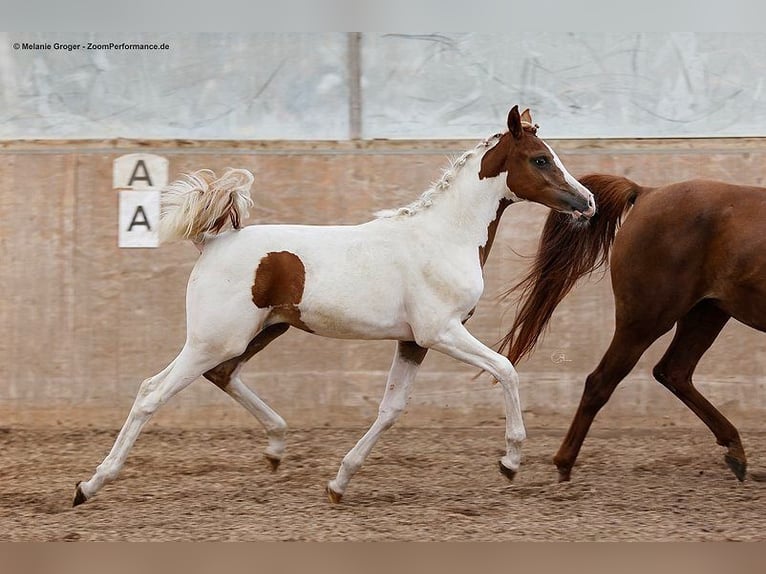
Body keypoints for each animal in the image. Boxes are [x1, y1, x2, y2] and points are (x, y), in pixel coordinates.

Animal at [72, 106, 596, 506]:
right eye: (540, 159)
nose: (587, 202)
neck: (445, 236)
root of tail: (211, 242)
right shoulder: (442, 332)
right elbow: (505, 369)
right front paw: (510, 461)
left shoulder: (413, 341)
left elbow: (391, 408)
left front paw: (339, 483)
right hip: (212, 339)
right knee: (152, 392)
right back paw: (90, 485)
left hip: (259, 331)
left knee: (222, 376)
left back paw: (277, 447)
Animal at [504, 173, 766, 484]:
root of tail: (646, 193)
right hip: (646, 319)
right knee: (601, 381)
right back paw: (563, 466)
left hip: (706, 313)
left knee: (673, 371)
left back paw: (735, 451)